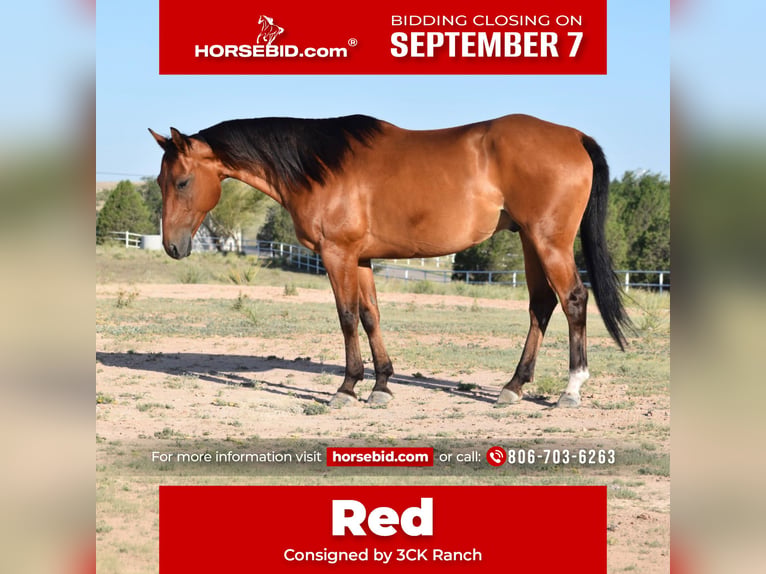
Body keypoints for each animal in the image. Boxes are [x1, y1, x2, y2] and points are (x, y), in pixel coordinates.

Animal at [149, 114, 632, 409]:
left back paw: (571, 388)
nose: (172, 246)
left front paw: (346, 388)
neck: (320, 167)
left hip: (549, 242)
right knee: (541, 306)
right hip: (531, 242)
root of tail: (574, 136)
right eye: (159, 180)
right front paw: (381, 385)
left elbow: (346, 317)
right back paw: (513, 387)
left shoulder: (338, 254)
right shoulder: (360, 258)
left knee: (573, 300)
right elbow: (370, 316)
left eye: (183, 181)